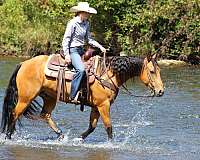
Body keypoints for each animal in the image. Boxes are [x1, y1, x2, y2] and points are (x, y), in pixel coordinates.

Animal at [0, 53, 164, 140]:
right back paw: (8, 136)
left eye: (159, 70)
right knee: (14, 113)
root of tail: (23, 63)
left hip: (49, 97)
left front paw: (79, 138)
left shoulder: (96, 107)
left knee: (45, 115)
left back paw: (60, 135)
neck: (108, 75)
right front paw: (112, 144)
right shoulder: (103, 105)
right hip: (26, 98)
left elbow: (92, 126)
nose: (161, 91)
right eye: (152, 71)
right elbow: (108, 127)